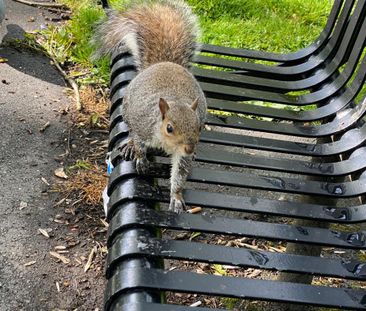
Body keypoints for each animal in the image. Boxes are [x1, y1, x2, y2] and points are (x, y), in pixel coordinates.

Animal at [93, 0, 207, 213]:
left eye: (199, 127)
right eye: (169, 128)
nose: (189, 148)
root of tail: (164, 63)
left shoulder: (181, 154)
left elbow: (179, 174)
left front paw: (176, 196)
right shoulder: (143, 125)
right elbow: (139, 142)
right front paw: (141, 158)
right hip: (127, 109)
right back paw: (129, 146)